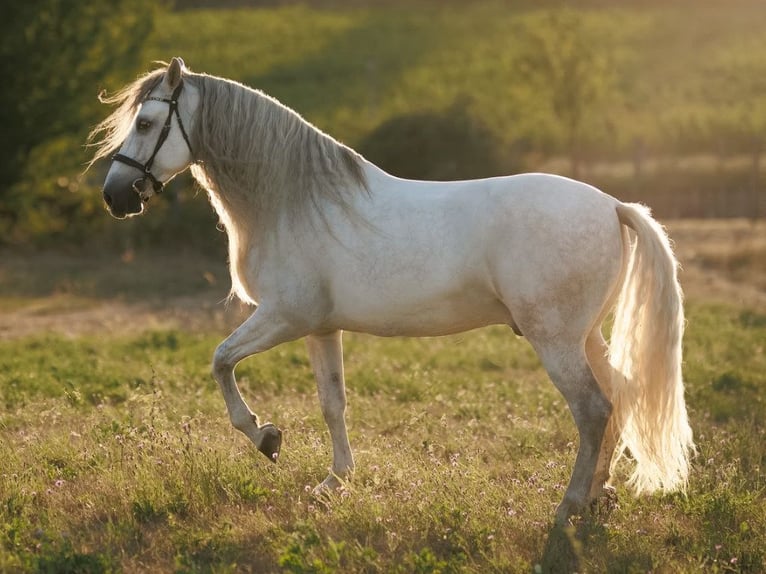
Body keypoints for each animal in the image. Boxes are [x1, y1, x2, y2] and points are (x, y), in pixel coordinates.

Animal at [88, 57, 694, 524]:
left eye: (147, 123)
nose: (116, 197)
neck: (293, 200)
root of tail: (612, 205)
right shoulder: (319, 328)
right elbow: (332, 403)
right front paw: (335, 482)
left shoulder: (284, 317)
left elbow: (220, 362)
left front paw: (266, 438)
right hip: (585, 337)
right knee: (618, 398)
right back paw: (598, 496)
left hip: (556, 341)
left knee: (592, 409)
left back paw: (569, 504)